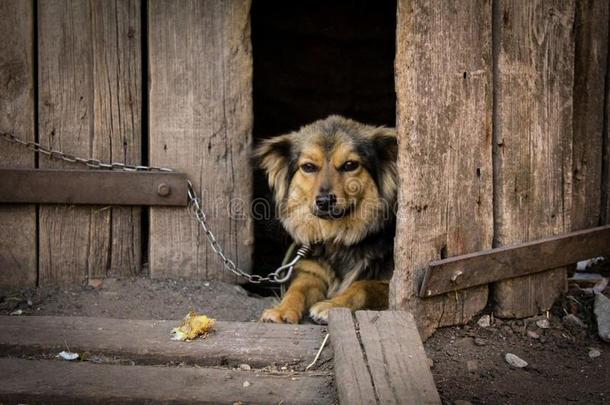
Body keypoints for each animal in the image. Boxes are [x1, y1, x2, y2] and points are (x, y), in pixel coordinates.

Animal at [254, 115, 396, 324]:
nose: (324, 201)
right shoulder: (312, 271)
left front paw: (331, 305)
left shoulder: (389, 282)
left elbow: (363, 286)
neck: (338, 236)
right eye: (308, 167)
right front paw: (282, 310)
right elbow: (297, 289)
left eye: (350, 165)